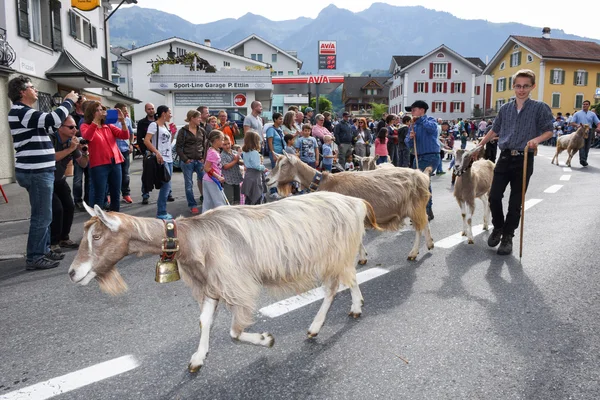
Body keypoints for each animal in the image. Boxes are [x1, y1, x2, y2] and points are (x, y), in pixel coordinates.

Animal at [70, 191, 378, 372]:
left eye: (97, 236)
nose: (73, 273)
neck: (193, 237)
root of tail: (355, 202)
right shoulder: (211, 284)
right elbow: (204, 321)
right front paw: (198, 358)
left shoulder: (234, 283)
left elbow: (234, 332)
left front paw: (266, 339)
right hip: (339, 253)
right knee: (349, 279)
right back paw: (356, 306)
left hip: (334, 253)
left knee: (332, 287)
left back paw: (316, 326)